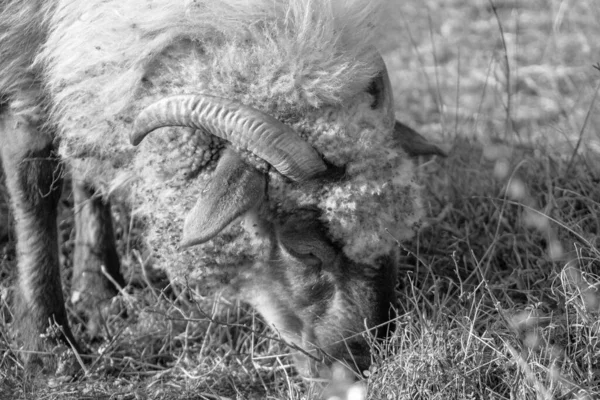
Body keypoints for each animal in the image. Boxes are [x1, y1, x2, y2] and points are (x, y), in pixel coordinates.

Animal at [0, 0, 440, 378]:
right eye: (304, 249)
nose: (360, 367)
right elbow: (33, 178)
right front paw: (47, 346)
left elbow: (83, 157)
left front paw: (96, 291)